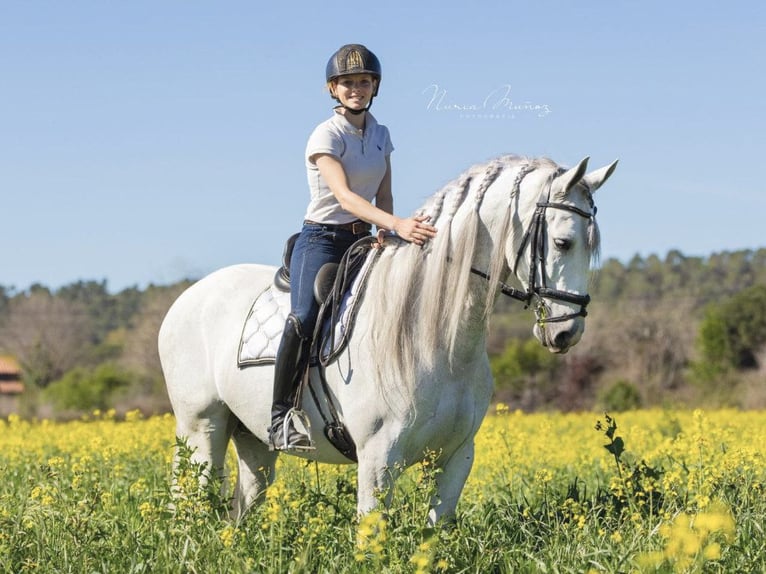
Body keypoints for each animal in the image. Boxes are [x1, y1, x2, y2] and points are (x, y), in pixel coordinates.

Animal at [158, 154, 618, 525]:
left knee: (240, 510)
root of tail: (186, 297)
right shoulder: (378, 459)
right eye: (563, 242)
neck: (438, 340)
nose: (567, 331)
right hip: (201, 428)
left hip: (252, 440)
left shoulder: (456, 457)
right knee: (190, 504)